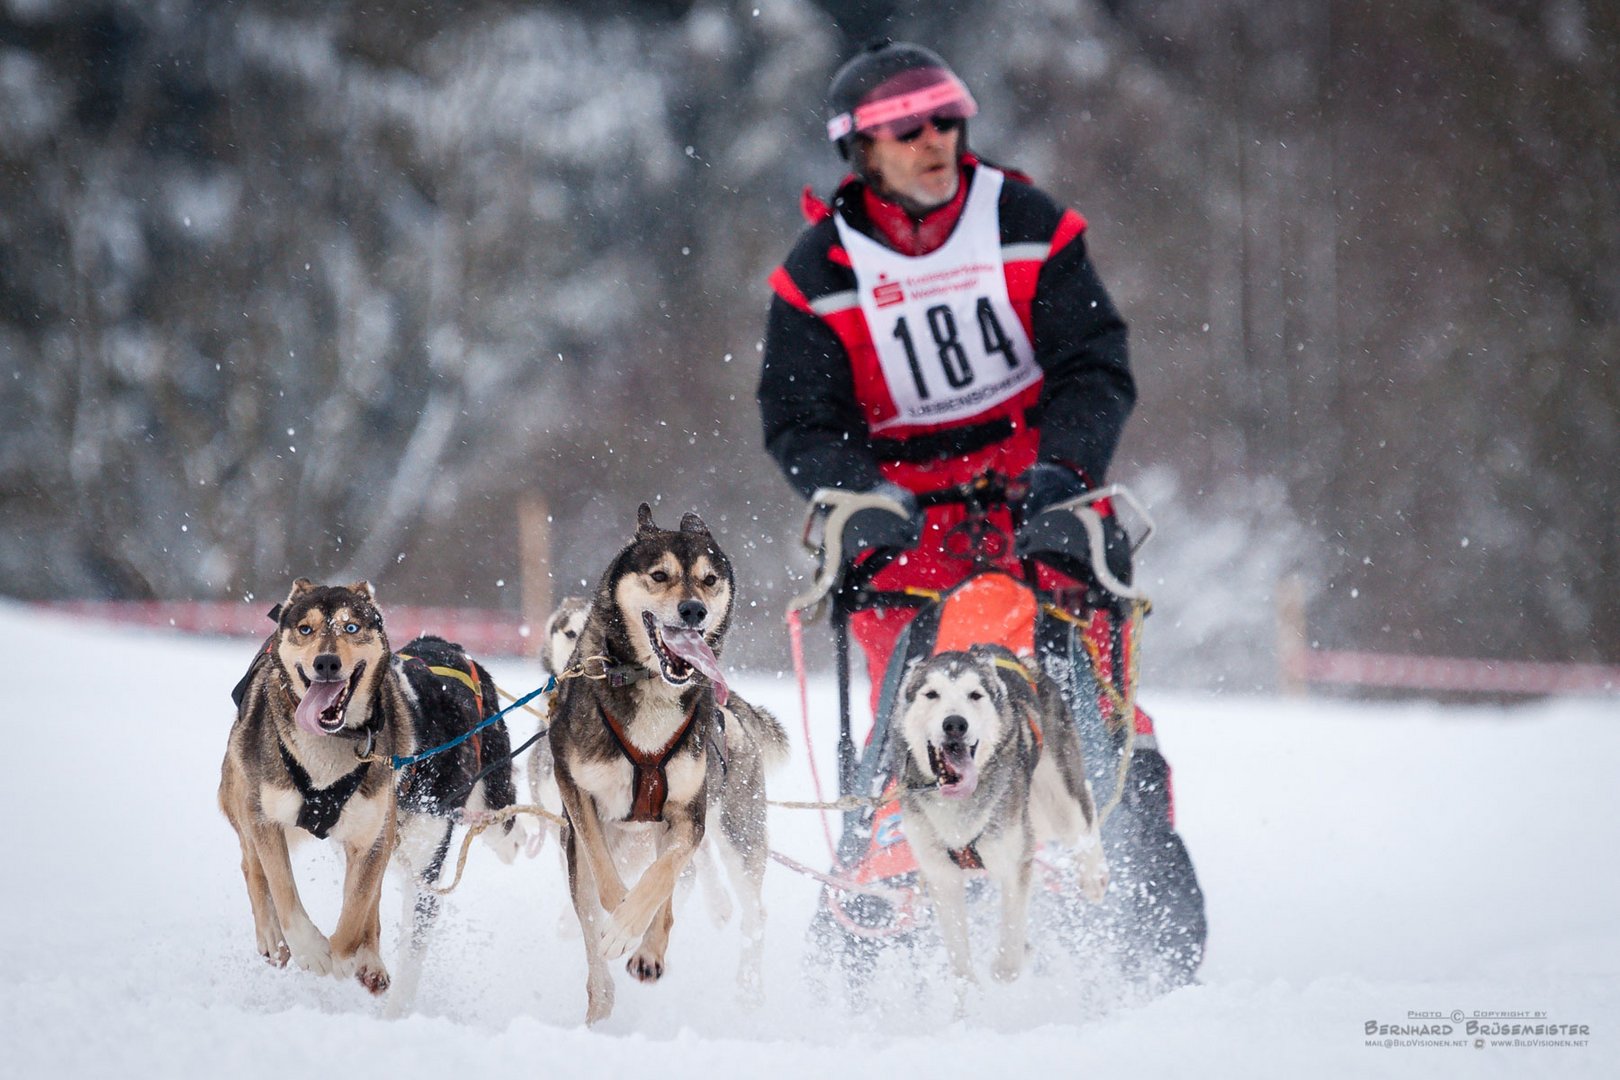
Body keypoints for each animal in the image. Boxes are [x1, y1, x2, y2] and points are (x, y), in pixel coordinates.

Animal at [894, 641, 1108, 990]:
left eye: (974, 694)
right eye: (931, 694)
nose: (955, 723)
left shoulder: (1015, 860)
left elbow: (1008, 952)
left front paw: (1010, 962)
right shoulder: (941, 874)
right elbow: (960, 964)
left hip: (1057, 798)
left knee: (1082, 810)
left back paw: (1094, 876)